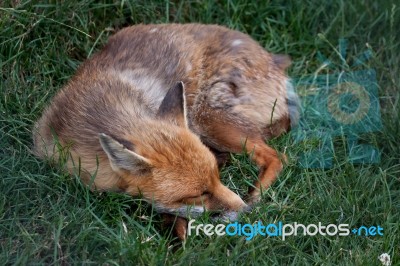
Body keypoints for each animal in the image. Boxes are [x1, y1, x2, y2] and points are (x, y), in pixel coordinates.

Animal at [32, 22, 298, 239]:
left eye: (217, 178)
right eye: (199, 193)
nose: (245, 211)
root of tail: (275, 61)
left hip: (208, 119)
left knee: (277, 157)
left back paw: (255, 194)